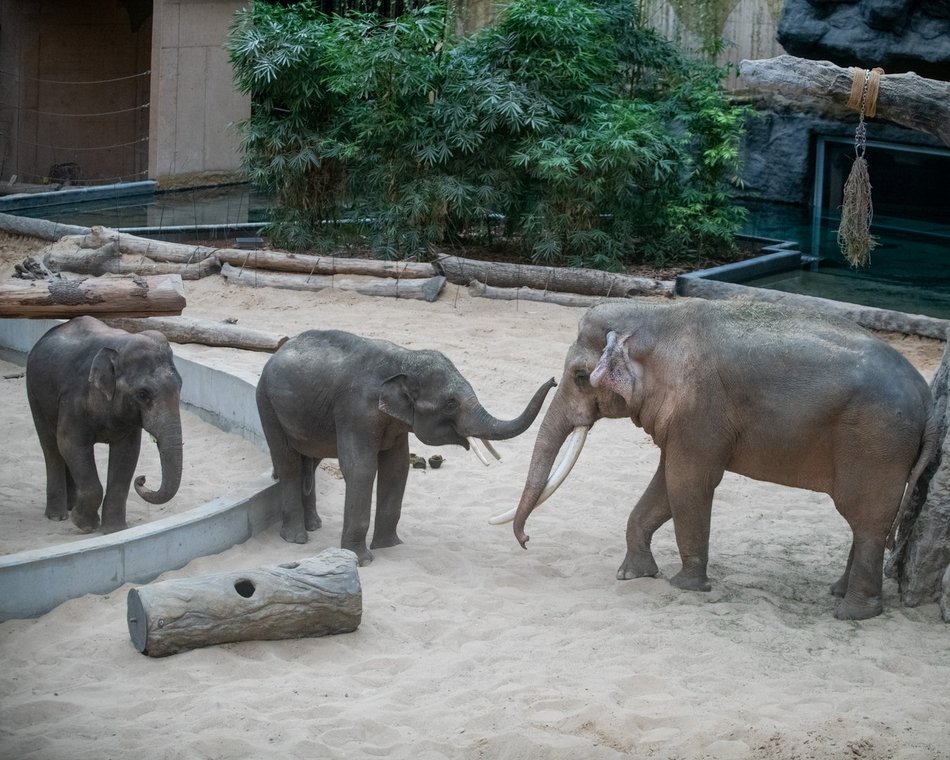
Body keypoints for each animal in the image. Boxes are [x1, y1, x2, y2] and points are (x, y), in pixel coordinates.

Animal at [26, 314, 186, 536]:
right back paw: (58, 516)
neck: (118, 348)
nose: (142, 479)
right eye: (142, 394)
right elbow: (70, 443)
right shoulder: (74, 398)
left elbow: (127, 453)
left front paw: (114, 530)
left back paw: (71, 506)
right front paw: (85, 524)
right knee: (51, 447)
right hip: (35, 394)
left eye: (180, 386)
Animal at [256, 330, 560, 568]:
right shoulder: (355, 412)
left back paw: (314, 526)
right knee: (289, 463)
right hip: (266, 404)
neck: (404, 360)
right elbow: (361, 469)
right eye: (450, 403)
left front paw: (390, 546)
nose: (555, 380)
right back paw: (296, 538)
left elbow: (397, 469)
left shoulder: (396, 423)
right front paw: (361, 560)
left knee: (310, 461)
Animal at [494, 296, 940, 616]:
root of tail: (928, 400)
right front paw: (632, 575)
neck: (659, 317)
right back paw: (839, 593)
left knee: (866, 520)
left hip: (877, 444)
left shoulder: (700, 412)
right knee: (866, 523)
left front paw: (685, 585)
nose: (526, 541)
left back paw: (852, 612)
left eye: (580, 377)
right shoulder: (683, 422)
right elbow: (665, 483)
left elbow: (688, 483)